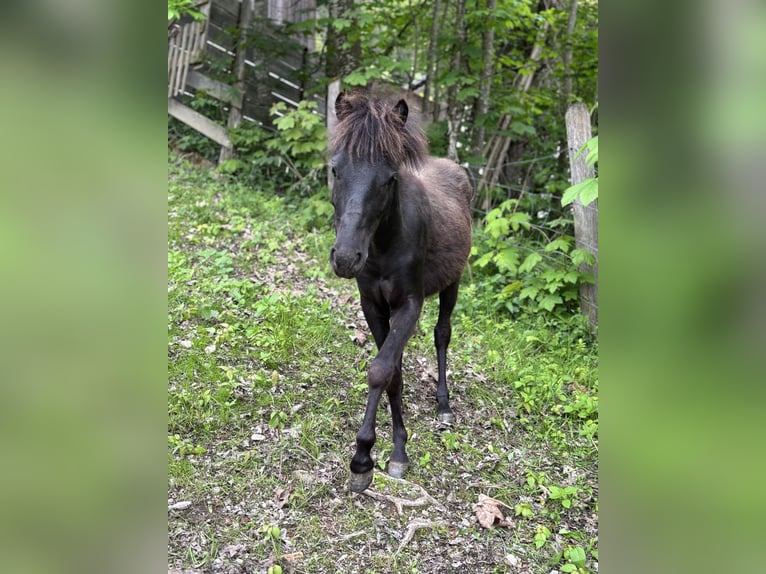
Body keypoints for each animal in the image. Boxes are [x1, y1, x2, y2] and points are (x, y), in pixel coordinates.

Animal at [329, 92, 472, 492]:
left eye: (390, 179)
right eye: (335, 170)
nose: (345, 258)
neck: (383, 245)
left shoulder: (410, 304)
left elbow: (380, 370)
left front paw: (363, 459)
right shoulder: (373, 306)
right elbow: (392, 371)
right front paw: (395, 448)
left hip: (452, 283)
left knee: (442, 334)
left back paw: (444, 406)